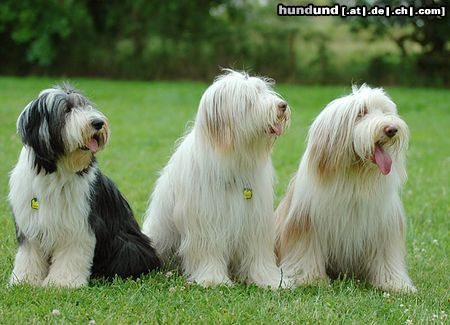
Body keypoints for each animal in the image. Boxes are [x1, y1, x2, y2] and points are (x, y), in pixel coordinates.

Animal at [8, 83, 161, 286]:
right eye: (66, 110)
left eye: (86, 106)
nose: (98, 123)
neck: (55, 171)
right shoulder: (30, 222)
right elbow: (29, 254)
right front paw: (24, 280)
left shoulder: (78, 223)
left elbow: (70, 254)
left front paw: (62, 282)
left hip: (128, 245)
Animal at [144, 69, 292, 286]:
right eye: (248, 100)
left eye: (263, 91)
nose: (282, 106)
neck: (233, 159)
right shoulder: (206, 218)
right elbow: (208, 249)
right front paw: (213, 280)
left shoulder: (255, 220)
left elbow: (258, 254)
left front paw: (270, 281)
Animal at [276, 83, 416, 292]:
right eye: (361, 113)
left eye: (385, 111)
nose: (391, 129)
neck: (355, 178)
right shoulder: (307, 222)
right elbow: (307, 251)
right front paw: (310, 279)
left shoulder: (384, 227)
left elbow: (386, 256)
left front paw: (395, 284)